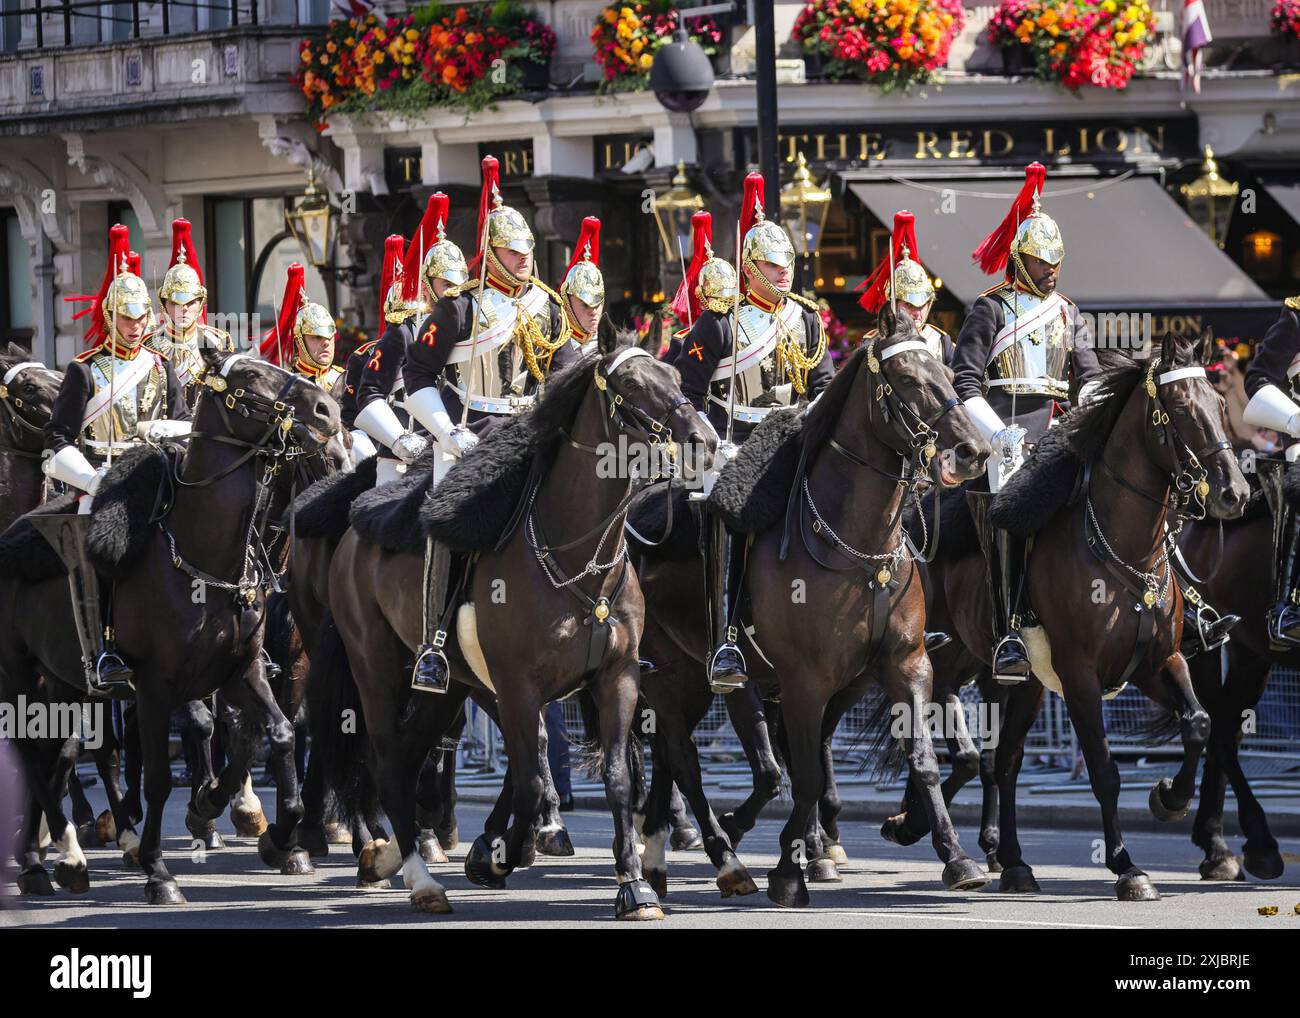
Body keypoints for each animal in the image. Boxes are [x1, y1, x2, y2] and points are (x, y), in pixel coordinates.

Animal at [306, 332, 712, 915]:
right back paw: (421, 879)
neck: (579, 555)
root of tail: (353, 527)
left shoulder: (619, 677)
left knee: (407, 757)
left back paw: (387, 858)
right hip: (376, 669)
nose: (704, 440)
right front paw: (497, 855)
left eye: (676, 378)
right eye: (632, 383)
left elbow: (614, 778)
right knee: (387, 760)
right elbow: (531, 782)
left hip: (450, 687)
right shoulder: (519, 686)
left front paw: (634, 887)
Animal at [639, 318, 993, 910]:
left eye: (946, 372)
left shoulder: (908, 665)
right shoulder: (803, 680)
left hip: (698, 678)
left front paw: (956, 856)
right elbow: (799, 774)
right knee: (686, 758)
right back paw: (718, 850)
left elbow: (923, 760)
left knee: (675, 755)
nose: (973, 452)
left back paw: (668, 850)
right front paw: (788, 870)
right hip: (670, 673)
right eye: (905, 377)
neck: (859, 549)